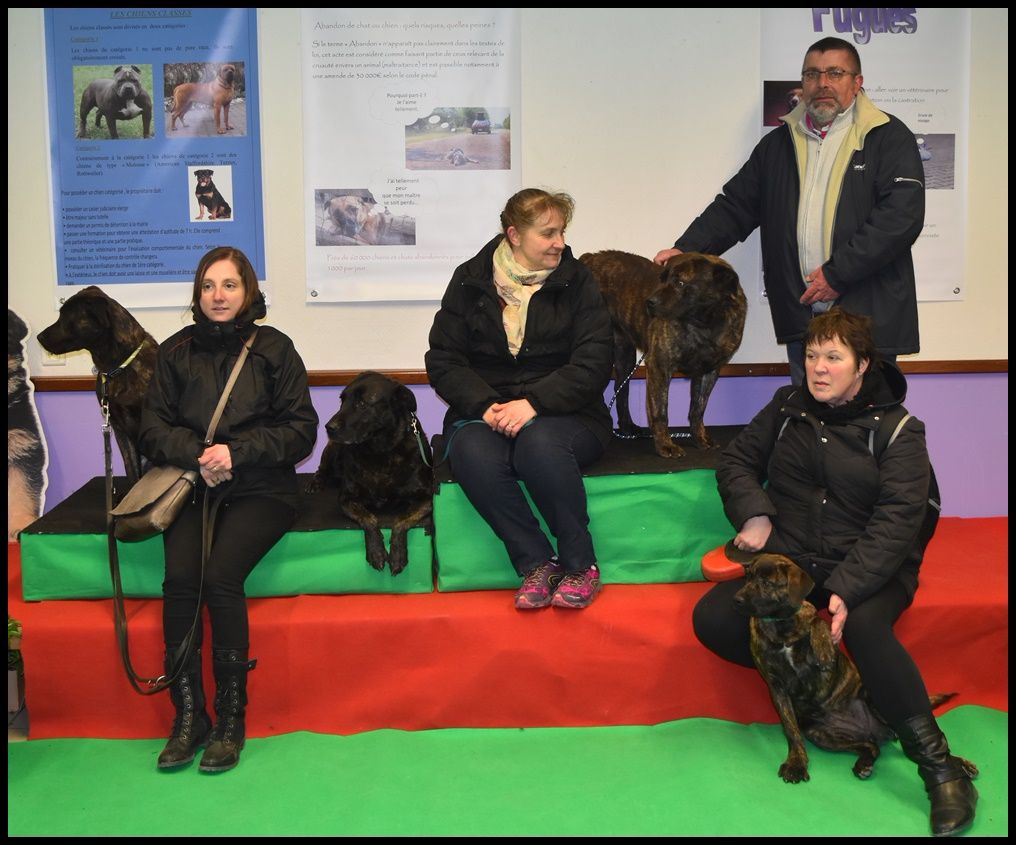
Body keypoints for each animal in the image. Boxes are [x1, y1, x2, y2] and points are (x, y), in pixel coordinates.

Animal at [581, 250, 747, 459]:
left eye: (680, 283)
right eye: (663, 279)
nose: (649, 302)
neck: (704, 323)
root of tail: (588, 257)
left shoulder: (709, 371)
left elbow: (698, 409)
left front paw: (700, 438)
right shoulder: (660, 366)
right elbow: (660, 411)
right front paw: (665, 445)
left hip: (625, 356)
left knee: (621, 390)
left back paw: (627, 427)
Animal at [731, 552, 967, 784]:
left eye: (765, 582)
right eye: (747, 578)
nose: (737, 600)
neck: (781, 624)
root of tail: (873, 730)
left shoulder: (815, 633)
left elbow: (819, 622)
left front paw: (824, 648)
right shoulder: (777, 687)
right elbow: (791, 730)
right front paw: (796, 763)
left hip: (879, 700)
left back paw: (960, 765)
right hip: (822, 734)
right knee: (871, 746)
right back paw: (864, 764)